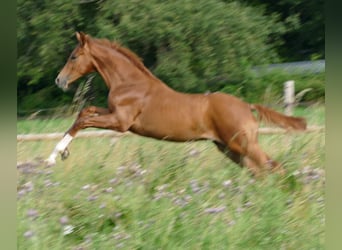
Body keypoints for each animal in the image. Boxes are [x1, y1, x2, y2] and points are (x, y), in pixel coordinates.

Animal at [44, 31, 304, 176]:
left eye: (73, 57)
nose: (59, 80)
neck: (130, 83)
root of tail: (247, 107)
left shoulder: (121, 122)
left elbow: (84, 120)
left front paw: (53, 156)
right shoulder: (112, 113)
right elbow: (84, 112)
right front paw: (62, 153)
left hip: (243, 146)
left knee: (275, 168)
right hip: (230, 149)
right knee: (260, 172)